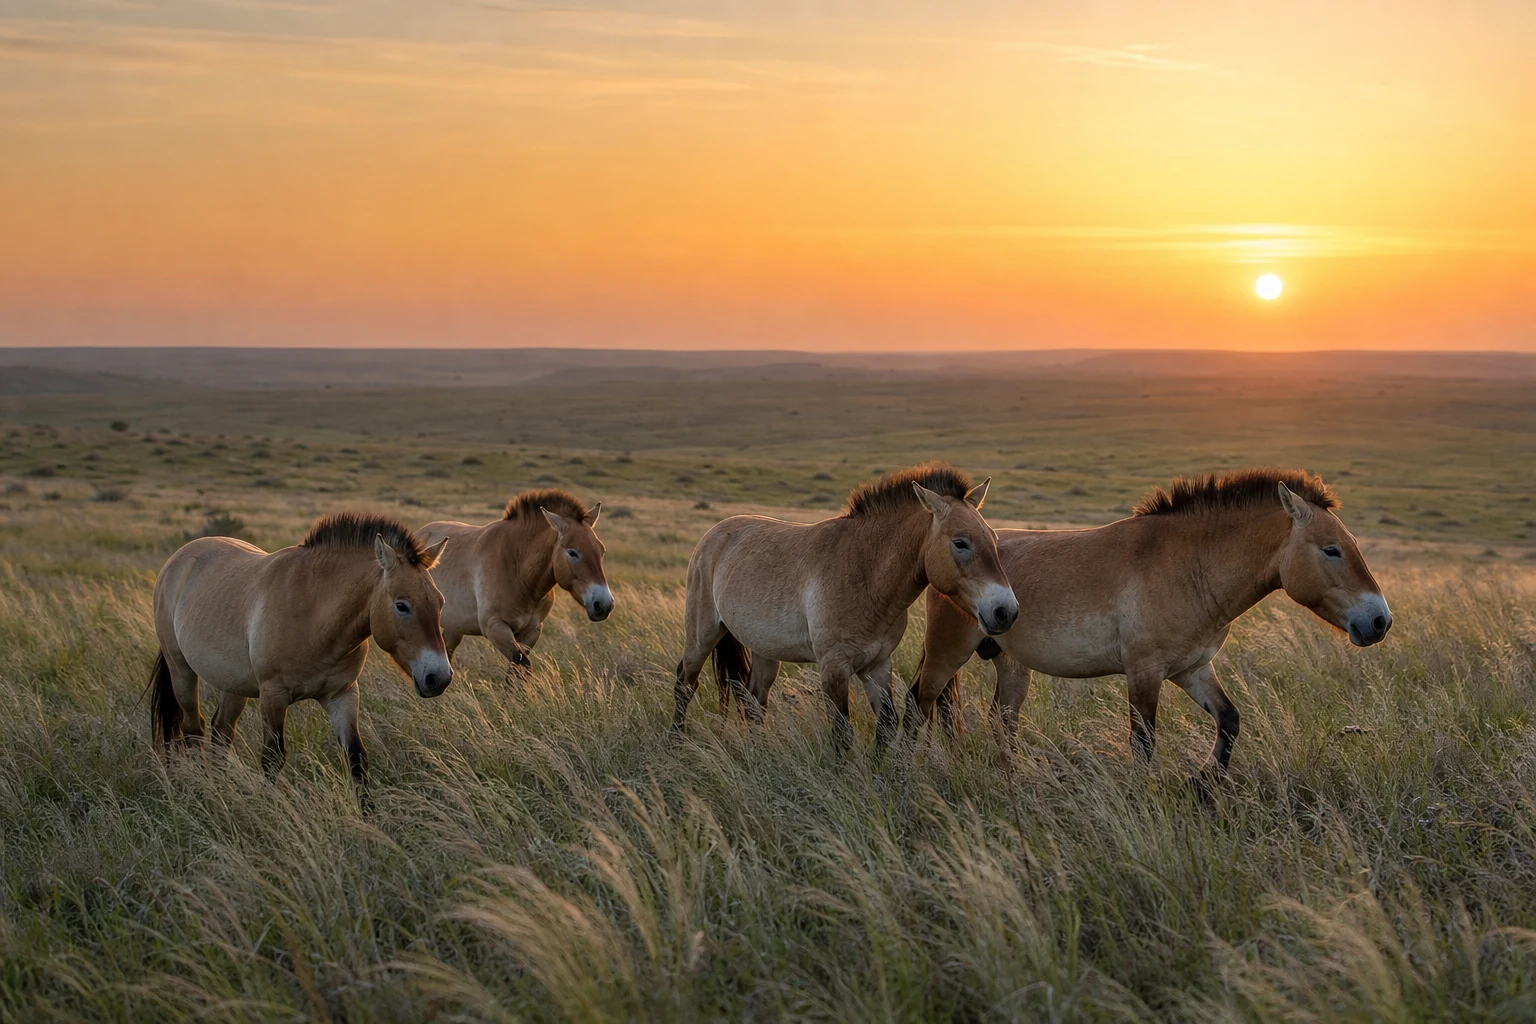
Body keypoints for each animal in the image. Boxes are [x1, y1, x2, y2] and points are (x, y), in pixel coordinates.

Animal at [147, 513, 451, 792]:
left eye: (440, 602)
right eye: (402, 605)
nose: (439, 677)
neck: (313, 612)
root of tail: (179, 558)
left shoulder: (343, 695)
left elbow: (357, 760)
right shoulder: (273, 697)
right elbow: (272, 759)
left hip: (232, 685)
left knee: (221, 732)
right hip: (182, 672)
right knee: (193, 730)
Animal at [416, 489, 612, 672]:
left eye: (602, 550)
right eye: (572, 552)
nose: (604, 604)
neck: (518, 571)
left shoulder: (531, 631)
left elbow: (517, 669)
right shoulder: (495, 627)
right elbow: (521, 663)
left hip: (455, 627)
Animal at [673, 463, 1019, 750]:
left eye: (992, 538)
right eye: (960, 542)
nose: (1006, 612)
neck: (864, 573)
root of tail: (715, 534)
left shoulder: (877, 666)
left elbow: (887, 725)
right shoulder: (834, 669)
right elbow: (841, 734)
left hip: (765, 651)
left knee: (754, 701)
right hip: (702, 636)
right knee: (685, 684)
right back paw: (674, 745)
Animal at [903, 469, 1393, 781]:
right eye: (1331, 550)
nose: (1379, 620)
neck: (1189, 567)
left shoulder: (1192, 670)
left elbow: (1229, 721)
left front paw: (1204, 786)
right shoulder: (1144, 674)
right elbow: (1143, 743)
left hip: (1011, 666)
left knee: (1002, 722)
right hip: (947, 653)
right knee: (918, 703)